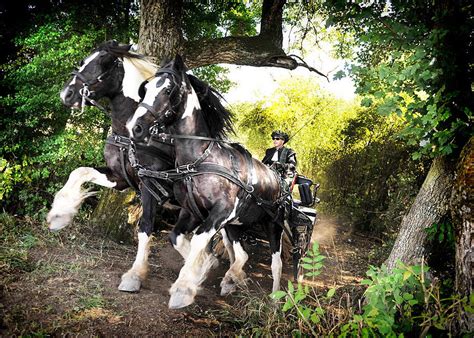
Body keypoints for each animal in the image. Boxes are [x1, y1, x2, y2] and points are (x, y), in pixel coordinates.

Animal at [47, 41, 176, 290]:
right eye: (83, 61)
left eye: (103, 63)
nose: (66, 94)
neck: (130, 134)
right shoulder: (119, 177)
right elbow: (80, 171)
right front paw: (59, 214)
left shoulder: (151, 185)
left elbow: (146, 225)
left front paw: (135, 275)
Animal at [128, 54, 286, 308]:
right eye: (146, 89)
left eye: (168, 89)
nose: (136, 127)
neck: (200, 160)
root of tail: (278, 178)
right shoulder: (191, 211)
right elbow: (177, 238)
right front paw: (201, 272)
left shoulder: (221, 212)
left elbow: (198, 240)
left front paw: (183, 287)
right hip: (235, 225)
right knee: (242, 255)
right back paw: (232, 278)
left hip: (273, 225)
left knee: (276, 263)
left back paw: (275, 297)